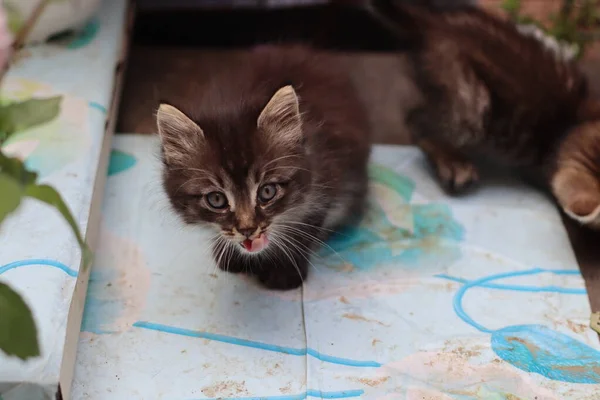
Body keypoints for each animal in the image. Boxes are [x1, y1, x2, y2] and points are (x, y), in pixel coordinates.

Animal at [155, 45, 370, 290]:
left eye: (267, 191)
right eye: (216, 199)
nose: (248, 230)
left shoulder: (326, 179)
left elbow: (307, 228)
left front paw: (286, 270)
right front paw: (230, 253)